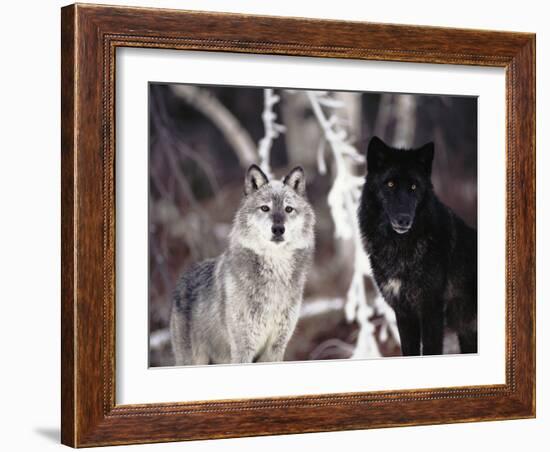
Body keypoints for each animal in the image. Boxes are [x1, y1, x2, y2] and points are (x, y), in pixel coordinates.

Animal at [170, 164, 316, 366]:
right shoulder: (243, 348)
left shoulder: (275, 348)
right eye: (265, 208)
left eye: (288, 209)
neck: (275, 275)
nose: (278, 229)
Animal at [358, 136, 478, 354]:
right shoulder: (404, 312)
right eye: (390, 184)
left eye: (414, 187)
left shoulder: (431, 310)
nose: (404, 220)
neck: (398, 248)